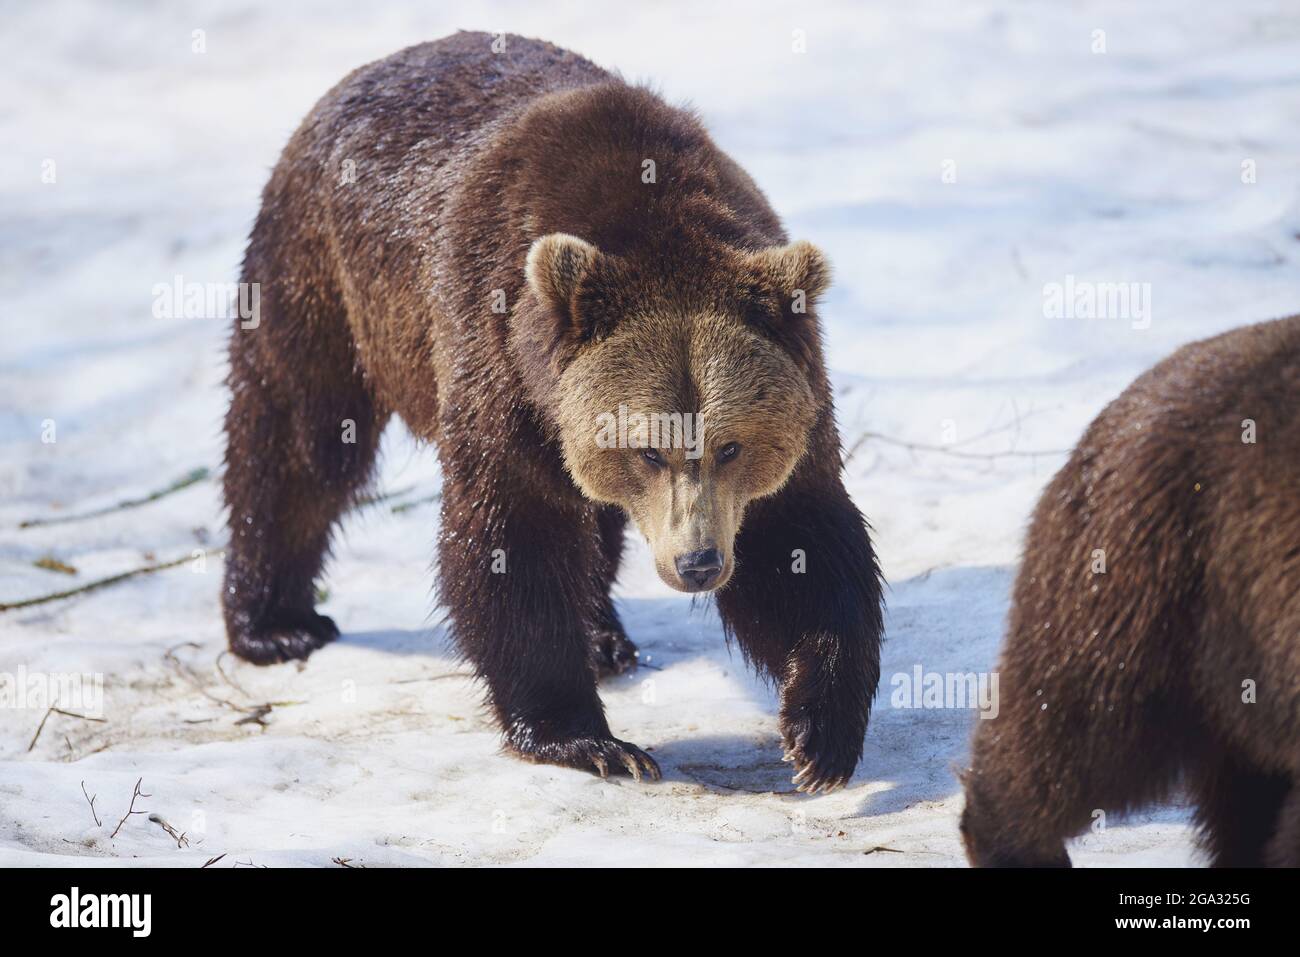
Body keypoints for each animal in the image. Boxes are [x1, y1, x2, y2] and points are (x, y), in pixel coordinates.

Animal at [223, 31, 889, 790]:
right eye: (648, 448)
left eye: (732, 445)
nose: (697, 562)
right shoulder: (498, 356)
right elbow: (515, 534)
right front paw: (588, 738)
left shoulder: (793, 401)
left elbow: (800, 536)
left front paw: (819, 732)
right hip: (324, 270)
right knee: (299, 434)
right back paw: (276, 622)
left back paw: (602, 636)